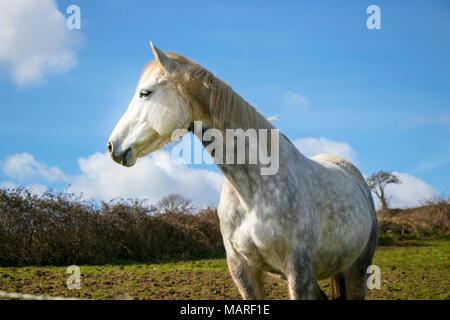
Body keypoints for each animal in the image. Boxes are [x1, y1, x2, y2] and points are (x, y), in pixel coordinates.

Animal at [108, 43, 376, 300]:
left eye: (145, 93)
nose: (112, 146)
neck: (252, 190)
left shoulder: (297, 270)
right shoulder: (242, 268)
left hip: (356, 270)